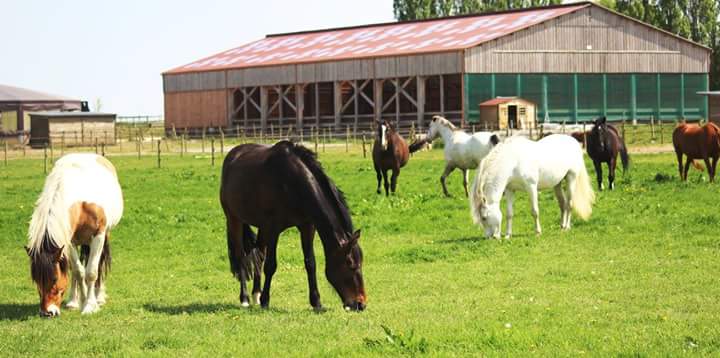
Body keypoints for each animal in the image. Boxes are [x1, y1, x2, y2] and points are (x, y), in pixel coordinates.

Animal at [25, 153, 122, 316]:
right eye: (35, 279)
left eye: (54, 278)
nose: (47, 312)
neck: (80, 200)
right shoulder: (68, 241)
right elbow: (78, 271)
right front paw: (82, 300)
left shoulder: (98, 236)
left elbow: (91, 272)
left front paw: (90, 305)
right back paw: (73, 301)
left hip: (104, 236)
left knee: (100, 263)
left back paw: (98, 297)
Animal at [219, 141, 366, 312]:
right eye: (350, 264)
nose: (361, 303)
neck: (292, 181)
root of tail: (233, 155)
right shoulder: (273, 228)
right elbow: (271, 265)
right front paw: (265, 301)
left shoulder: (307, 226)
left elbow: (310, 263)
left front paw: (316, 302)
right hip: (234, 219)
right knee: (241, 257)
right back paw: (245, 298)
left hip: (261, 226)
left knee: (259, 255)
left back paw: (256, 294)